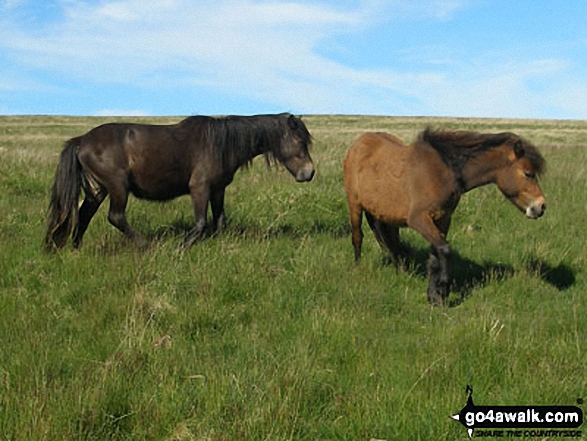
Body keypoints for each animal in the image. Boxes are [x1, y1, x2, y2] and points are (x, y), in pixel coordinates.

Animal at [46, 111, 314, 249]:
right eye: (299, 141)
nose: (309, 172)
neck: (220, 144)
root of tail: (82, 140)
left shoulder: (218, 189)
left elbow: (220, 221)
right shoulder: (199, 188)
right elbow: (201, 223)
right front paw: (181, 248)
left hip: (99, 188)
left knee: (84, 214)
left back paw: (76, 248)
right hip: (117, 186)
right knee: (116, 217)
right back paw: (145, 245)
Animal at [344, 127, 548, 304]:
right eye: (528, 173)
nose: (541, 207)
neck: (442, 172)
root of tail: (357, 144)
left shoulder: (443, 219)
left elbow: (436, 254)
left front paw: (433, 294)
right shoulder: (419, 219)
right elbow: (445, 249)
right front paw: (443, 289)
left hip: (385, 214)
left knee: (389, 241)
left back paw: (400, 270)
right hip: (355, 205)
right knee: (358, 237)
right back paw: (357, 268)